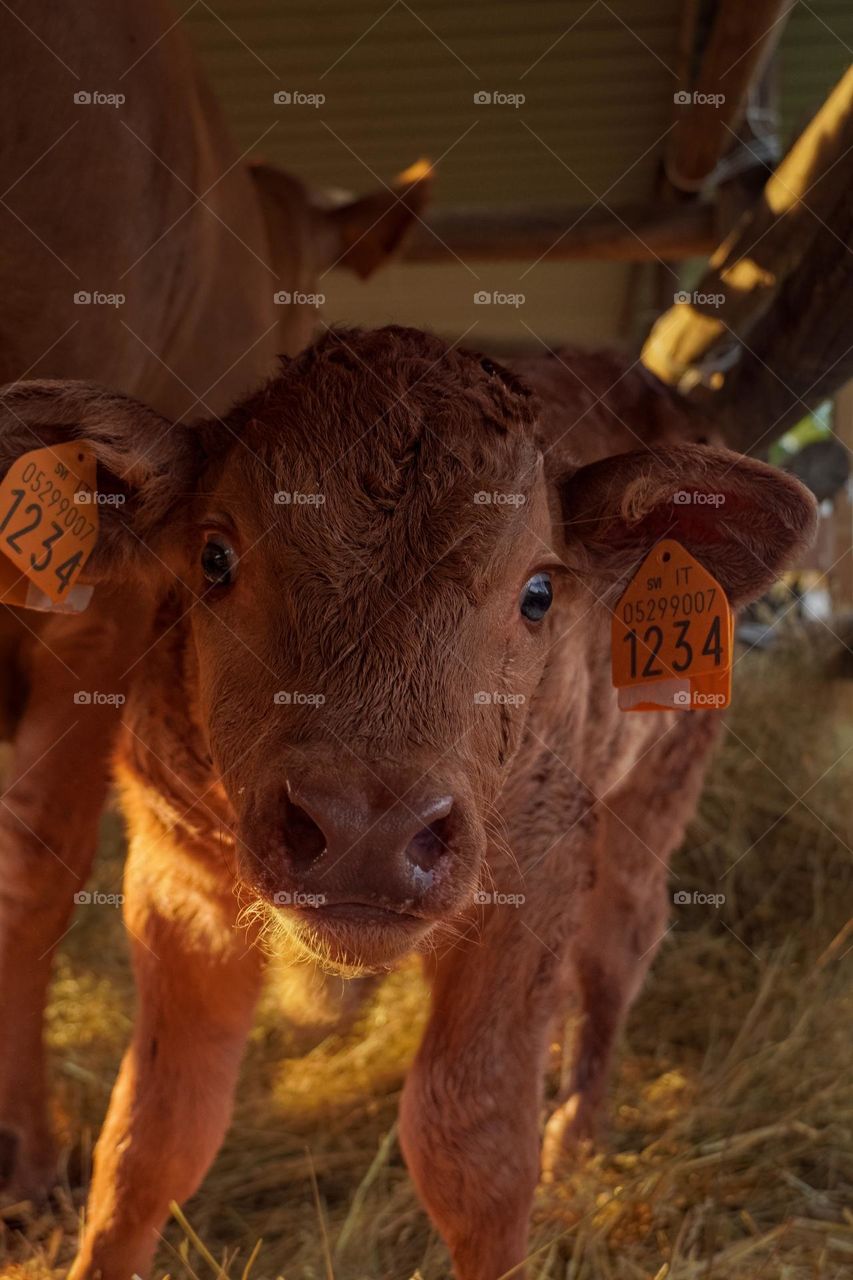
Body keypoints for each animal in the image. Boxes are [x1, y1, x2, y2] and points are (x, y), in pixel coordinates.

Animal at [0, 326, 815, 1279]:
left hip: (649, 803)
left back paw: (576, 1134)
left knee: (616, 953)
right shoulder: (179, 883)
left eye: (539, 592)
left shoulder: (532, 876)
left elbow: (476, 1147)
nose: (366, 831)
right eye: (215, 558)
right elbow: (153, 1136)